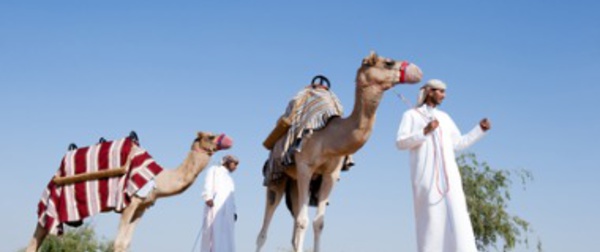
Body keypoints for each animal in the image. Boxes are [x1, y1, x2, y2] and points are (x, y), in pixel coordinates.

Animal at [27, 132, 232, 252]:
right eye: (211, 136)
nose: (229, 140)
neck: (158, 178)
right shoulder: (129, 203)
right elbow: (118, 242)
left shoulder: (141, 207)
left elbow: (125, 243)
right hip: (51, 201)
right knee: (36, 238)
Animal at [256, 51, 422, 252]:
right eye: (388, 63)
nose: (417, 71)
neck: (328, 137)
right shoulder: (305, 167)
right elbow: (303, 221)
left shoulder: (330, 174)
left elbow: (318, 223)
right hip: (277, 176)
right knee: (264, 229)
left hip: (293, 183)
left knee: (294, 228)